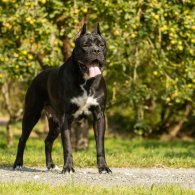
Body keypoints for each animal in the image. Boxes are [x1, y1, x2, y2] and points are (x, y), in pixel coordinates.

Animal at [13, 24, 111, 174]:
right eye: (85, 45)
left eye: (102, 44)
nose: (96, 50)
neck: (85, 81)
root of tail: (39, 75)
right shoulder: (66, 117)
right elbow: (67, 145)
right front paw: (68, 167)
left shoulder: (99, 115)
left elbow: (100, 145)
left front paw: (103, 167)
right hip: (31, 115)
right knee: (22, 139)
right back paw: (18, 163)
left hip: (55, 123)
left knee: (48, 141)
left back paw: (50, 164)